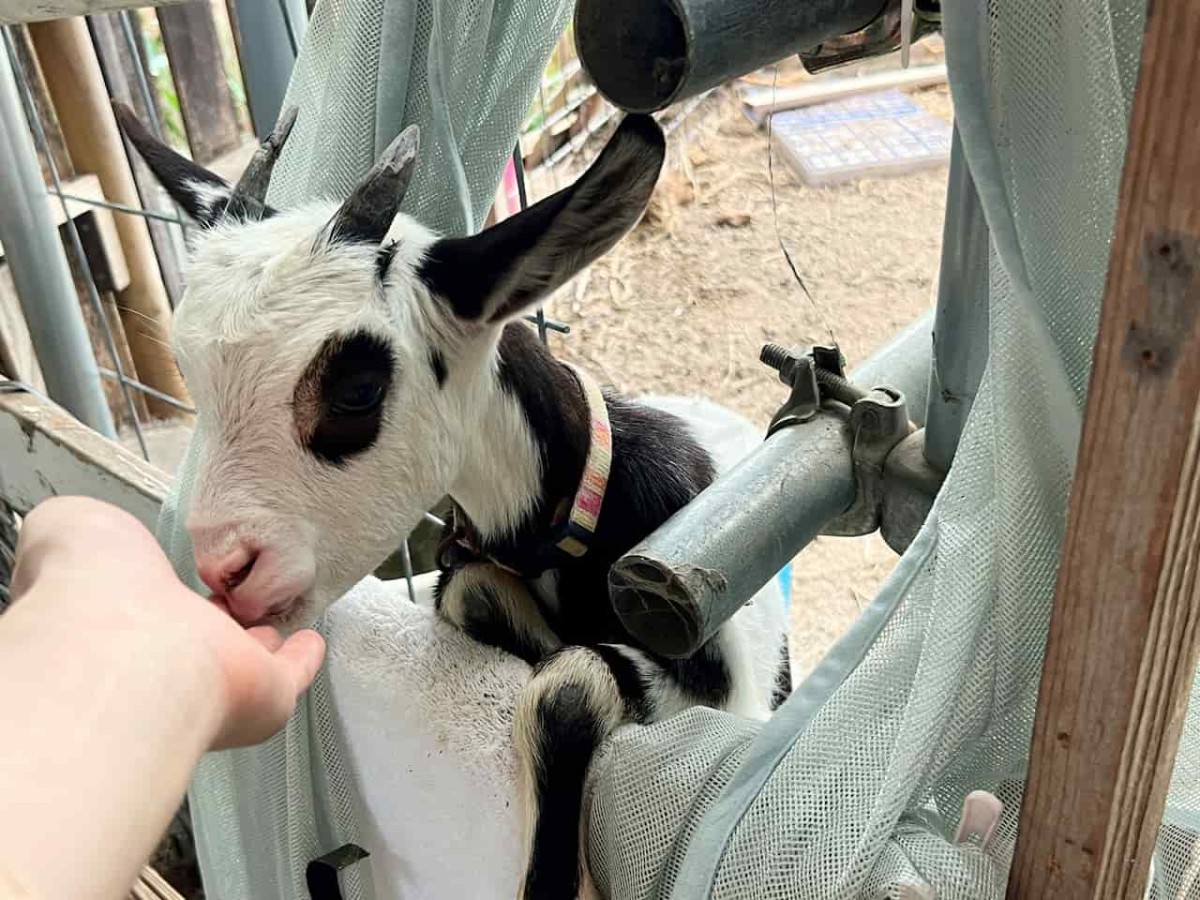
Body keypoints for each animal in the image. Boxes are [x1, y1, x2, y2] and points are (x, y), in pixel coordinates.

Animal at [117, 107, 792, 900]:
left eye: (358, 389)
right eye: (188, 369)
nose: (226, 569)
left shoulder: (719, 681)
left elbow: (568, 685)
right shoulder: (475, 573)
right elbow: (475, 594)